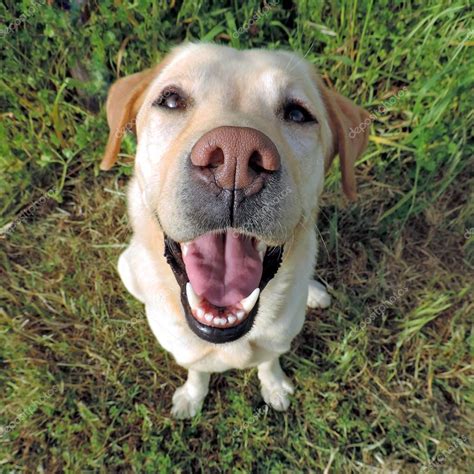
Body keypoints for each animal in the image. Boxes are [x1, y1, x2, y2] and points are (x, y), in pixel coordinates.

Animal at [100, 41, 370, 418]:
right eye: (171, 100)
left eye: (297, 114)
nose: (235, 158)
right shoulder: (188, 351)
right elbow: (198, 371)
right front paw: (192, 397)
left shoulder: (277, 341)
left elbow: (269, 362)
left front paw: (274, 385)